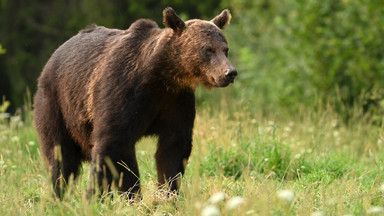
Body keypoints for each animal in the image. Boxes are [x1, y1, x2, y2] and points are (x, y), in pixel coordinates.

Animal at [33, 7, 237, 199]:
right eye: (208, 49)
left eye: (225, 49)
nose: (230, 72)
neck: (162, 76)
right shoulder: (123, 91)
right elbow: (109, 144)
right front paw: (94, 196)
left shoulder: (176, 100)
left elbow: (173, 147)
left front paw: (168, 193)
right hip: (57, 104)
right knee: (60, 155)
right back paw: (59, 195)